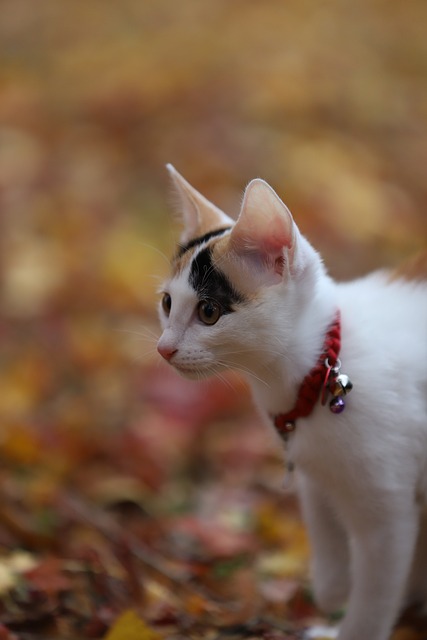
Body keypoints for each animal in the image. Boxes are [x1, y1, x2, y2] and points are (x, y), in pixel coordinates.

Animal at [156, 165, 427, 640]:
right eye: (168, 303)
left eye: (208, 312)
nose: (163, 348)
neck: (320, 373)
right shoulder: (313, 471)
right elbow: (321, 520)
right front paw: (333, 587)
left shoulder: (390, 515)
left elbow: (374, 596)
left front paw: (351, 626)